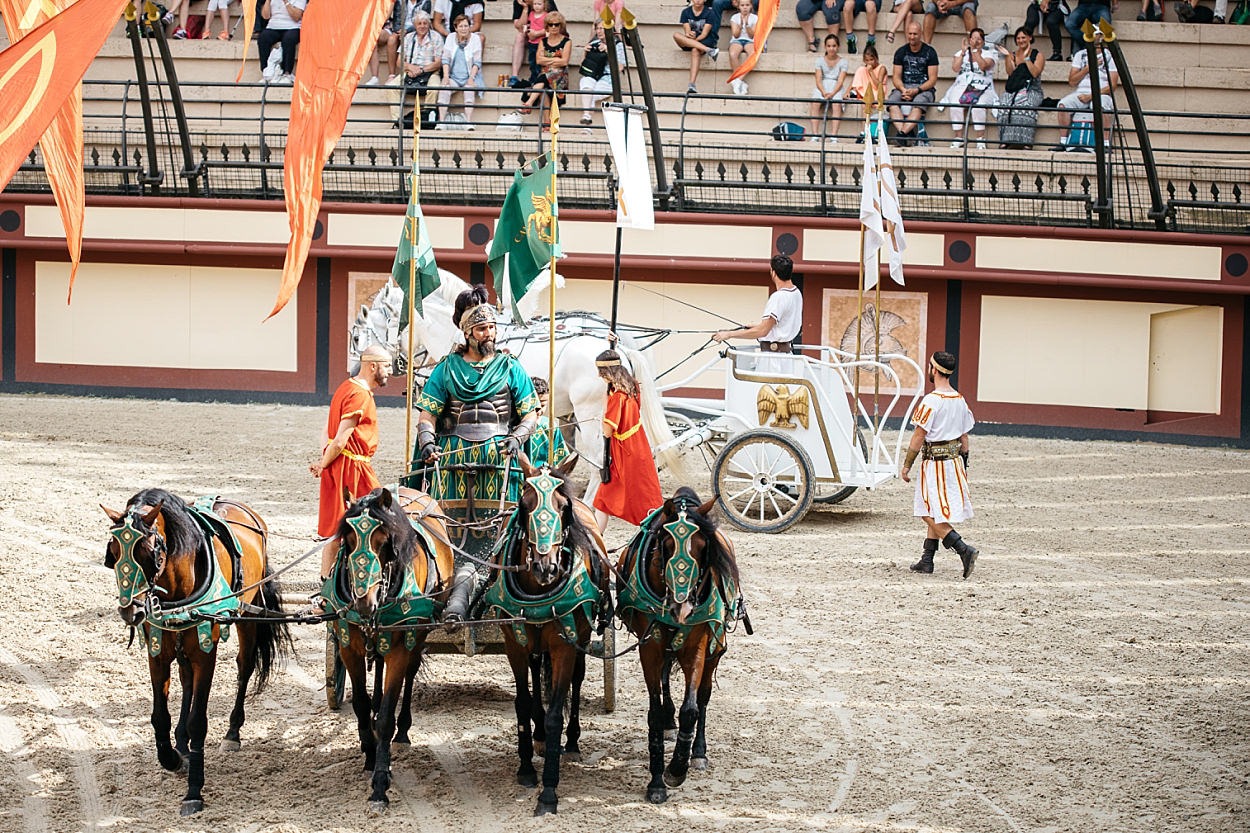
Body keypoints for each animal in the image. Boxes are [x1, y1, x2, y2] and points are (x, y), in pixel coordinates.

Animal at [103, 487, 290, 810]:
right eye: (113, 552)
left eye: (150, 553)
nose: (131, 611)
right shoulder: (158, 652)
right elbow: (159, 716)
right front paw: (173, 757)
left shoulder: (205, 653)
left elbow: (199, 722)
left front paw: (194, 790)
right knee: (186, 678)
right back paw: (182, 741)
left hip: (248, 614)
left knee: (244, 667)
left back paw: (232, 732)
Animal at [325, 482, 457, 805]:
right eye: (348, 539)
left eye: (384, 541)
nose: (364, 602)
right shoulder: (348, 645)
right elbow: (360, 704)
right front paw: (369, 753)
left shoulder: (401, 647)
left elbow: (387, 714)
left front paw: (380, 781)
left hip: (417, 635)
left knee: (409, 674)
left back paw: (403, 731)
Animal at [480, 450, 612, 815]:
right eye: (524, 504)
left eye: (562, 507)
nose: (546, 566)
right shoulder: (515, 642)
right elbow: (524, 703)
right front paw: (526, 768)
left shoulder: (564, 644)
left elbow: (555, 711)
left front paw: (549, 791)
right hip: (534, 642)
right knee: (537, 672)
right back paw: (539, 739)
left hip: (579, 637)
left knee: (575, 680)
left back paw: (572, 740)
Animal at [617, 482, 740, 800]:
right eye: (666, 545)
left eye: (703, 547)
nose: (681, 607)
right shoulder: (650, 645)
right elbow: (654, 709)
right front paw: (657, 781)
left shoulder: (697, 645)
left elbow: (692, 709)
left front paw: (677, 768)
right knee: (664, 680)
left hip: (715, 648)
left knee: (705, 696)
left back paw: (698, 752)